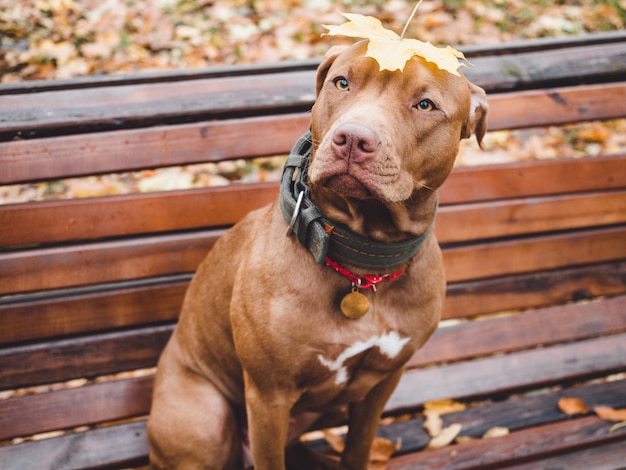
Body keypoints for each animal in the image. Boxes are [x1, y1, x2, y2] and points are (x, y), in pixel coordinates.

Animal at [147, 41, 488, 470]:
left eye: (425, 105)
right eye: (342, 82)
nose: (353, 138)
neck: (361, 261)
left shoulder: (381, 383)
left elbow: (358, 446)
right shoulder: (268, 397)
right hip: (205, 419)